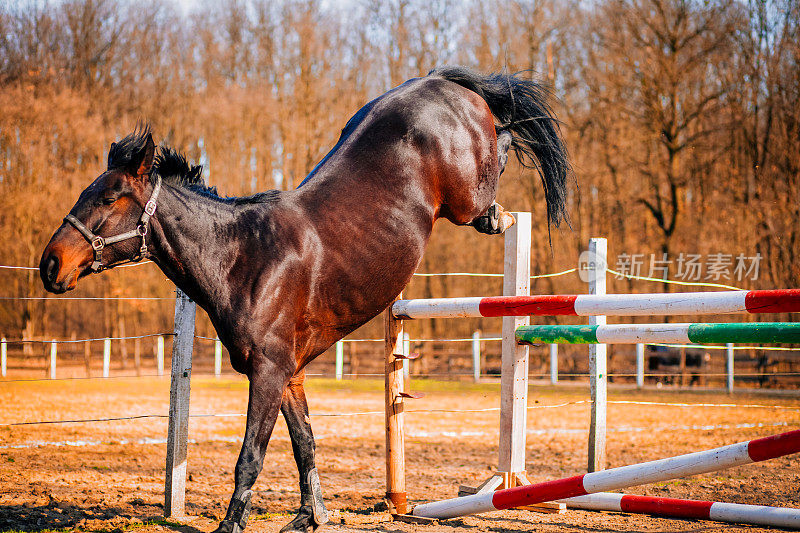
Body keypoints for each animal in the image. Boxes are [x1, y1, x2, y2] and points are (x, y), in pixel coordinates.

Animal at [40, 66, 572, 532]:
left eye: (109, 198)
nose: (50, 265)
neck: (243, 258)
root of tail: (439, 80)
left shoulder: (268, 373)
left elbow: (250, 458)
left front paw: (232, 524)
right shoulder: (290, 374)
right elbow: (305, 446)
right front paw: (311, 516)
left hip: (465, 201)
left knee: (505, 144)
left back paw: (502, 203)